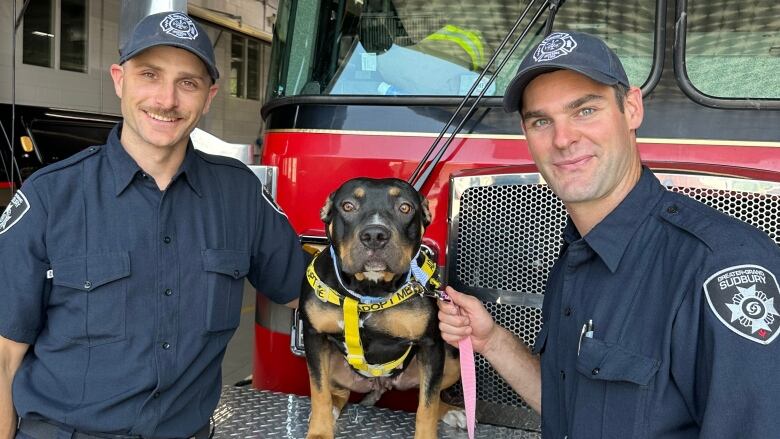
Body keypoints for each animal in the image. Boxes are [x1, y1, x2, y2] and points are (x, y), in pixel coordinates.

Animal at [300, 178, 460, 439]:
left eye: (405, 207)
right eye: (348, 206)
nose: (374, 235)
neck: (369, 290)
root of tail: (380, 383)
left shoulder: (431, 346)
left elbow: (427, 405)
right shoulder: (314, 338)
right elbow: (319, 392)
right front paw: (320, 432)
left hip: (452, 358)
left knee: (431, 395)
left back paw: (452, 412)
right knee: (339, 392)